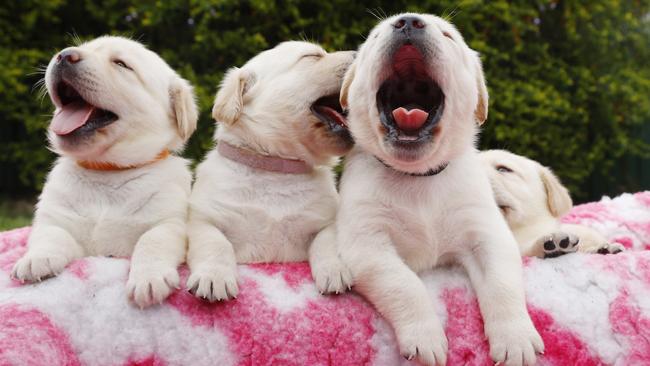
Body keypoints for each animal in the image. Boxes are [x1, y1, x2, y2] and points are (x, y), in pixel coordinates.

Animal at [10, 35, 197, 308]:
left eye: (121, 64)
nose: (64, 55)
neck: (106, 170)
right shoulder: (56, 219)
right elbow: (50, 234)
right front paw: (36, 259)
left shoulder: (170, 222)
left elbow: (152, 240)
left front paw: (148, 279)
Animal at [185, 41, 352, 302]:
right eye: (311, 56)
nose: (360, 53)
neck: (276, 167)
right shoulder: (202, 219)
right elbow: (215, 243)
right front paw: (214, 278)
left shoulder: (326, 221)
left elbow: (327, 241)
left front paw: (336, 271)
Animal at [324, 12, 540, 364]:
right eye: (374, 37)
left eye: (448, 35)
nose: (408, 22)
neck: (418, 178)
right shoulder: (368, 244)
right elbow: (404, 284)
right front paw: (425, 338)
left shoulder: (488, 234)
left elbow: (502, 284)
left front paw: (516, 338)